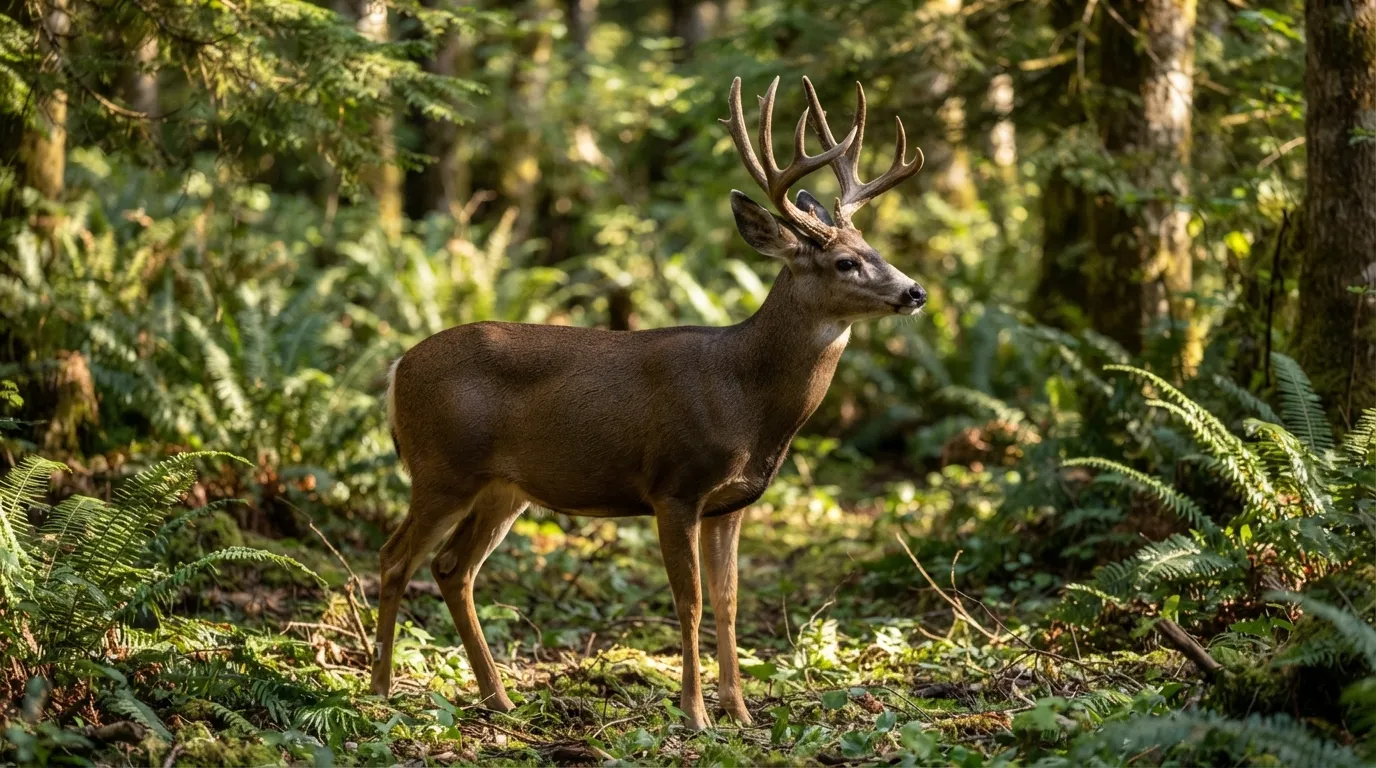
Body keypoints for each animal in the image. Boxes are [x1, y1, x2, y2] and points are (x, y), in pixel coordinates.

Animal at [371, 75, 926, 731]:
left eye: (873, 245)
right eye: (845, 260)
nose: (914, 291)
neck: (744, 397)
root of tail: (397, 369)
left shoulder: (730, 503)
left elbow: (729, 603)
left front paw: (740, 712)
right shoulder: (674, 485)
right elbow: (689, 603)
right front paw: (696, 714)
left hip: (503, 489)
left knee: (452, 569)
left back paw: (500, 699)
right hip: (442, 469)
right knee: (394, 558)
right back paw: (380, 691)